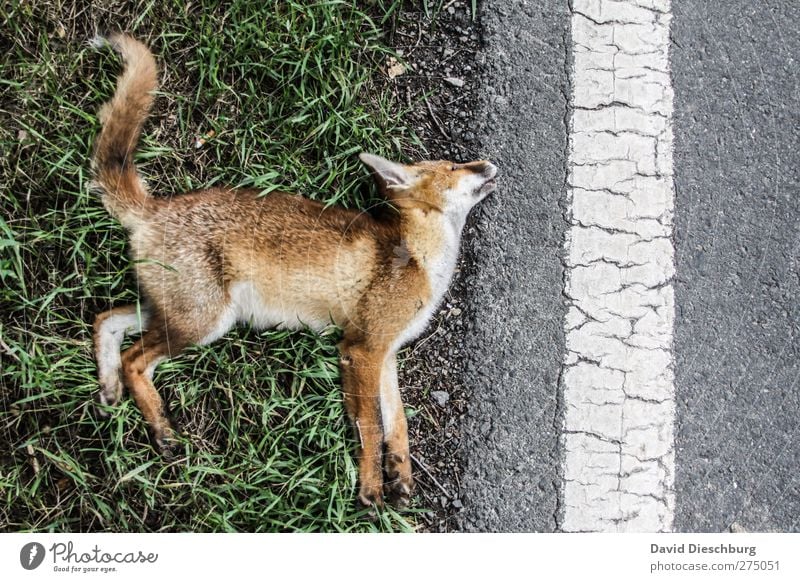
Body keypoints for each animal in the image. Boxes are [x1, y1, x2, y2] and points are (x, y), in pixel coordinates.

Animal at [90, 34, 496, 512]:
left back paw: (108, 390)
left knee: (105, 321)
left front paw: (400, 476)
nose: (488, 163)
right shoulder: (361, 348)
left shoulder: (386, 351)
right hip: (203, 322)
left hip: (178, 312)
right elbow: (371, 427)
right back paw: (161, 428)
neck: (418, 257)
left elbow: (398, 426)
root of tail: (153, 209)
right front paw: (371, 489)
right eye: (453, 167)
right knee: (135, 360)